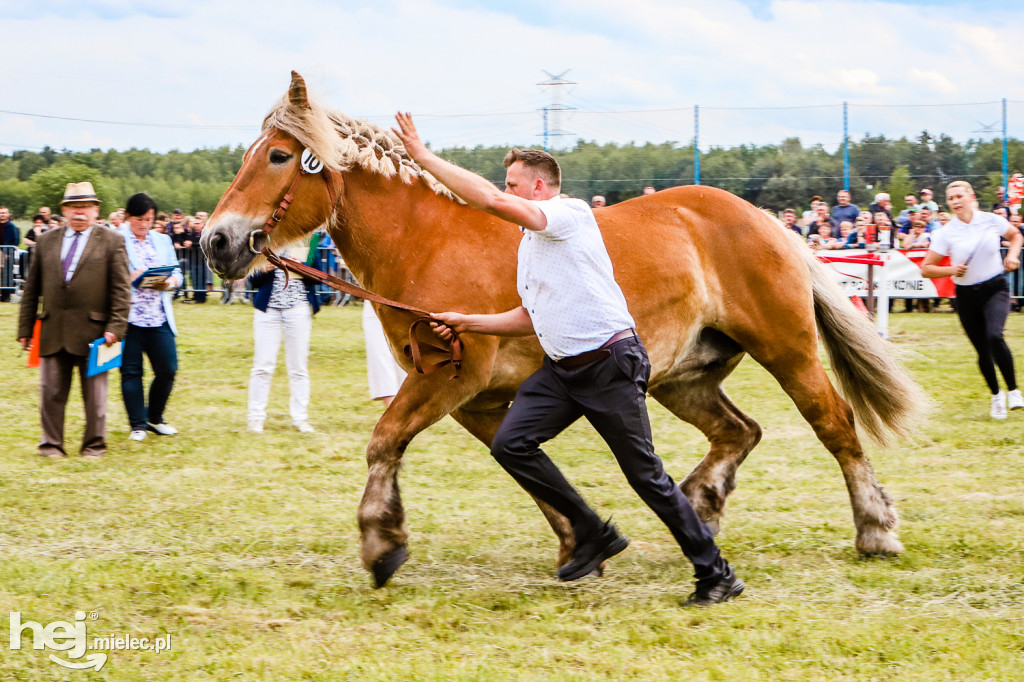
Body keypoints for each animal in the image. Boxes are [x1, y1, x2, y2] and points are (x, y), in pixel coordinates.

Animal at [203, 71, 925, 585]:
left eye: (277, 156)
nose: (216, 241)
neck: (427, 241)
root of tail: (764, 219)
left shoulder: (448, 382)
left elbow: (383, 443)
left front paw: (382, 541)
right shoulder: (477, 401)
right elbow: (528, 473)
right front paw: (584, 546)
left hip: (788, 350)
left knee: (835, 425)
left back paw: (875, 529)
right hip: (681, 378)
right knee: (738, 432)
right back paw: (701, 506)